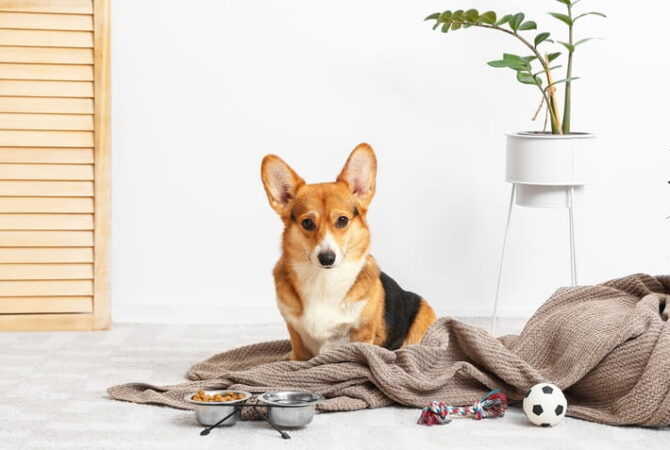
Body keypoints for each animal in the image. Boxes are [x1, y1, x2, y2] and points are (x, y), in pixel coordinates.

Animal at [260, 142, 438, 360]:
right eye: (307, 223)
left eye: (342, 220)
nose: (327, 258)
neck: (324, 281)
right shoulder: (296, 336)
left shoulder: (361, 334)